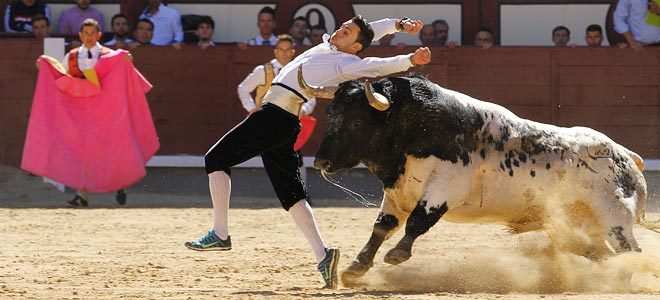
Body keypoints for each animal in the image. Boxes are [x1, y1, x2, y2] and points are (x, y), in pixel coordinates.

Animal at [306, 74, 648, 282]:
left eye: (355, 122)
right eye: (331, 115)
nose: (321, 161)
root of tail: (627, 157)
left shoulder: (443, 187)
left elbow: (418, 221)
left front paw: (397, 255)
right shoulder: (398, 192)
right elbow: (383, 226)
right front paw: (356, 267)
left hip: (615, 219)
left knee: (630, 252)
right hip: (581, 224)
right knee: (599, 252)